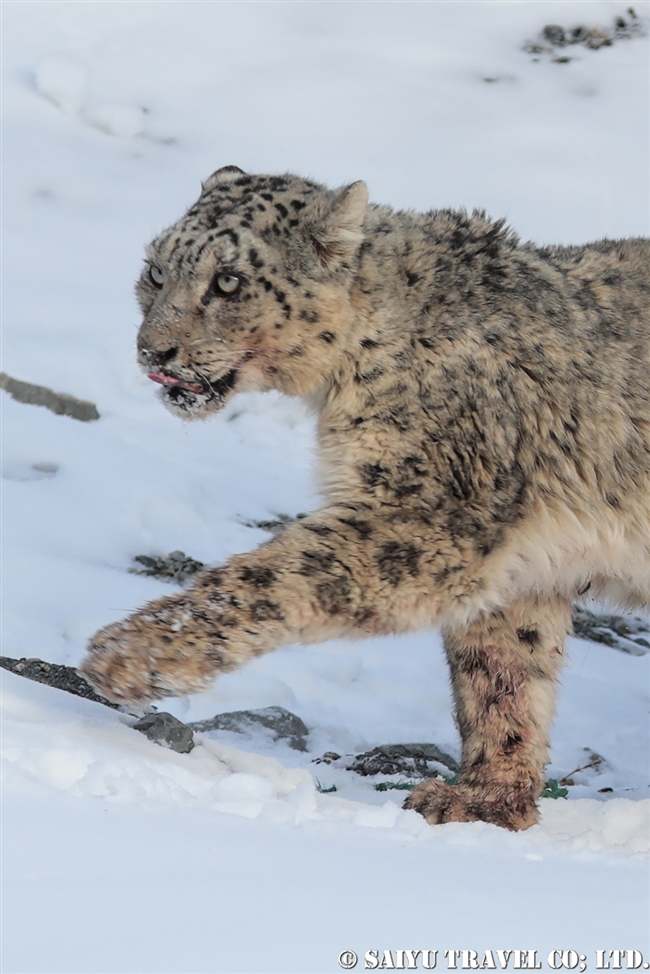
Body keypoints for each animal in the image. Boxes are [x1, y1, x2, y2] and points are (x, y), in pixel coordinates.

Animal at [82, 166, 648, 832]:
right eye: (156, 271)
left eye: (228, 280)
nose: (153, 351)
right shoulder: (520, 561)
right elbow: (503, 674)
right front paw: (484, 800)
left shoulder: (430, 515)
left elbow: (273, 577)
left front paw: (129, 654)